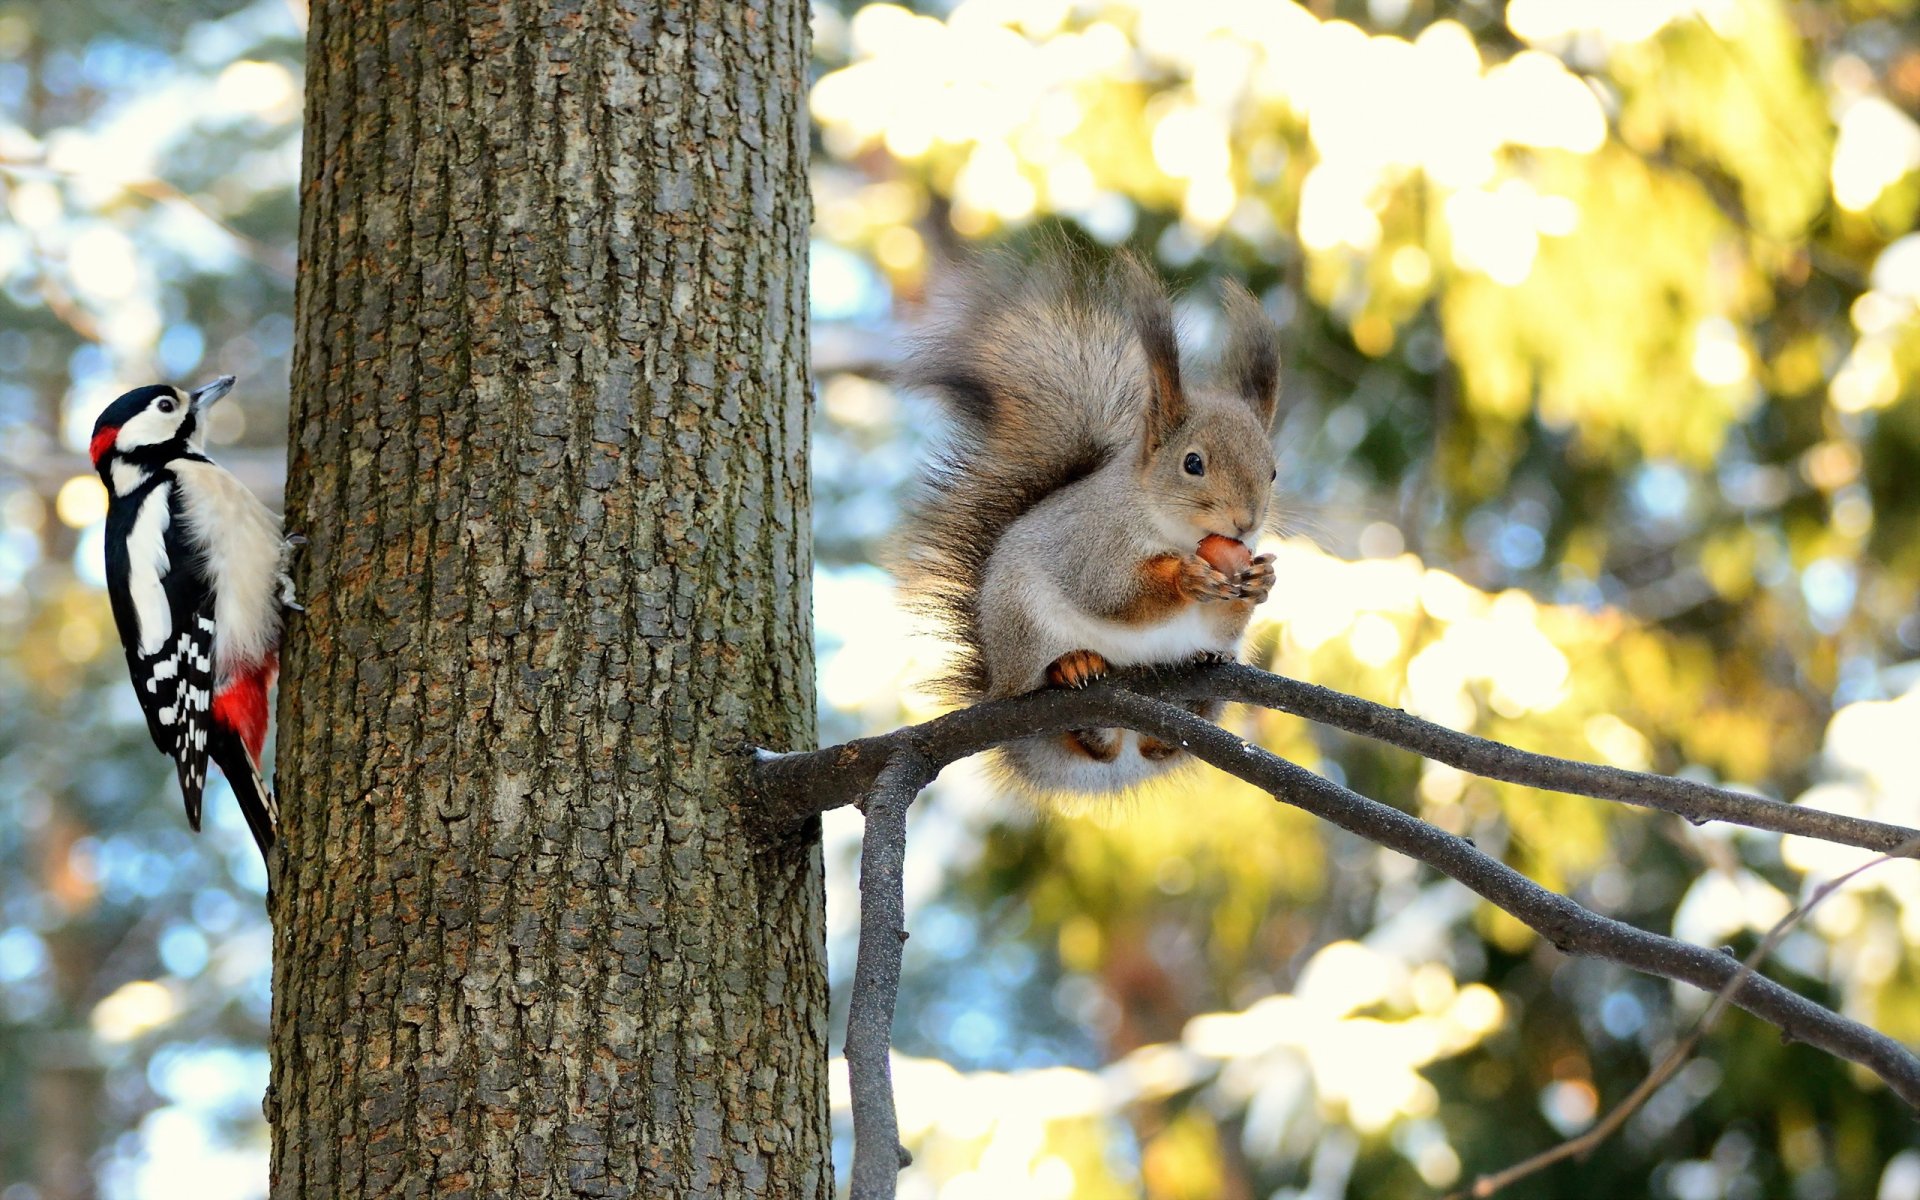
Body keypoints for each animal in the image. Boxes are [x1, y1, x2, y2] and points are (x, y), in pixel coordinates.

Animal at [894, 247, 1282, 794]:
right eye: (1193, 463)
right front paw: (1185, 577)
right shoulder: (1091, 543)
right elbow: (1110, 593)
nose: (1246, 524)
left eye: (1273, 471)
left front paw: (1260, 580)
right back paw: (1073, 668)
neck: (1177, 532)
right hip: (1025, 630)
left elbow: (1224, 616)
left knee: (1157, 742)